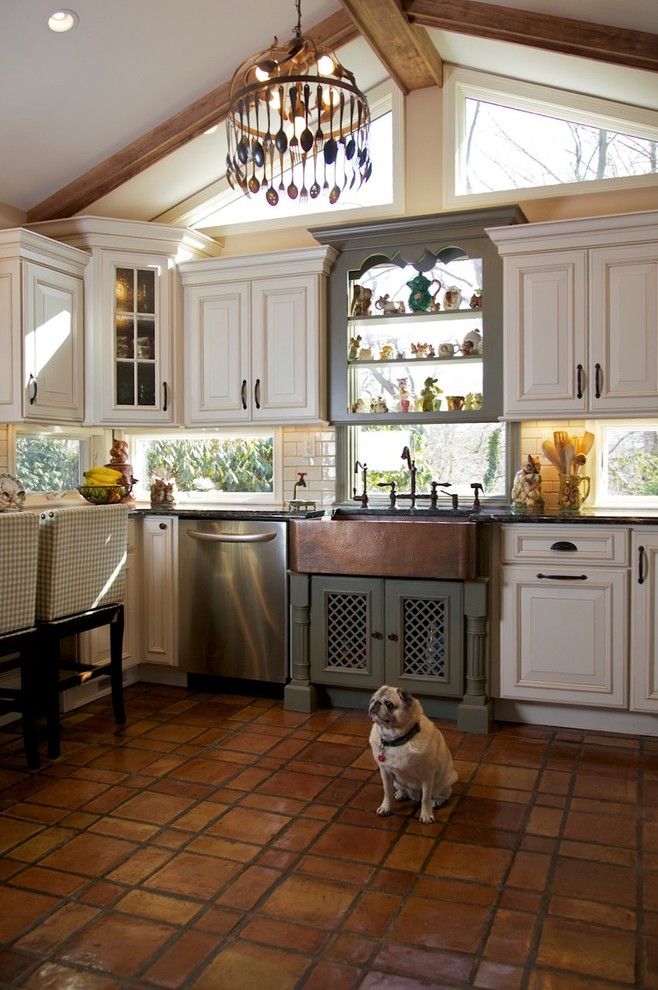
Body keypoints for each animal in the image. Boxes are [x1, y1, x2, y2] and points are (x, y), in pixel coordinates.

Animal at [368, 684, 456, 824]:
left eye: (388, 704)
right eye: (372, 700)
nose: (376, 703)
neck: (397, 740)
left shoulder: (427, 776)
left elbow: (425, 798)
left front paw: (426, 815)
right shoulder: (385, 772)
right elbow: (387, 792)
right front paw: (386, 807)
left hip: (445, 781)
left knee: (441, 794)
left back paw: (436, 801)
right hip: (396, 782)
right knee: (401, 788)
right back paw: (401, 793)